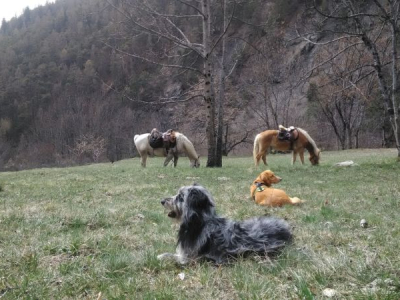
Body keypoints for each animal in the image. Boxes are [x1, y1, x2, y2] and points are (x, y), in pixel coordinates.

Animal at [158, 184, 292, 264]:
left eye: (180, 197)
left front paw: (160, 256)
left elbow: (171, 256)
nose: (162, 201)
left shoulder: (190, 258)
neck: (201, 221)